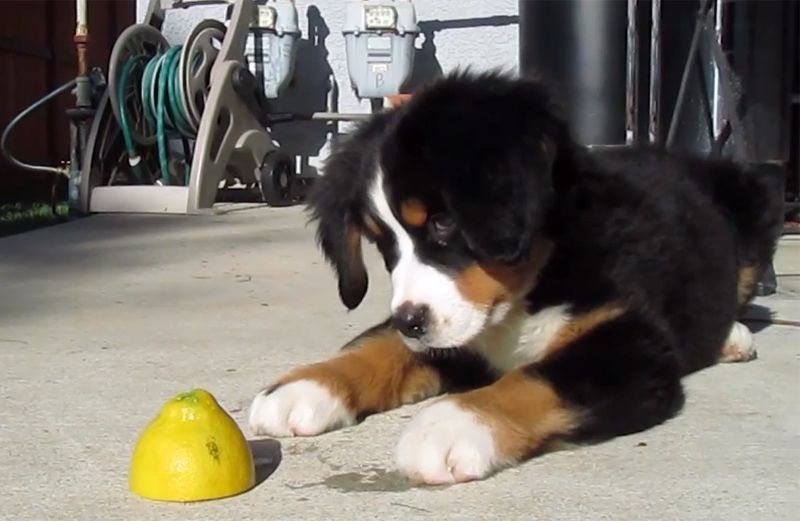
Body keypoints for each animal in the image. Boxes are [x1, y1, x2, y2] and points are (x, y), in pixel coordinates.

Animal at [248, 72, 780, 484]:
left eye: (444, 222)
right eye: (383, 243)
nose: (412, 323)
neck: (533, 286)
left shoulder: (629, 347)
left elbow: (536, 379)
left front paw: (450, 424)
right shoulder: (451, 328)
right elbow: (379, 344)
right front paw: (306, 386)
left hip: (754, 206)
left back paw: (732, 336)